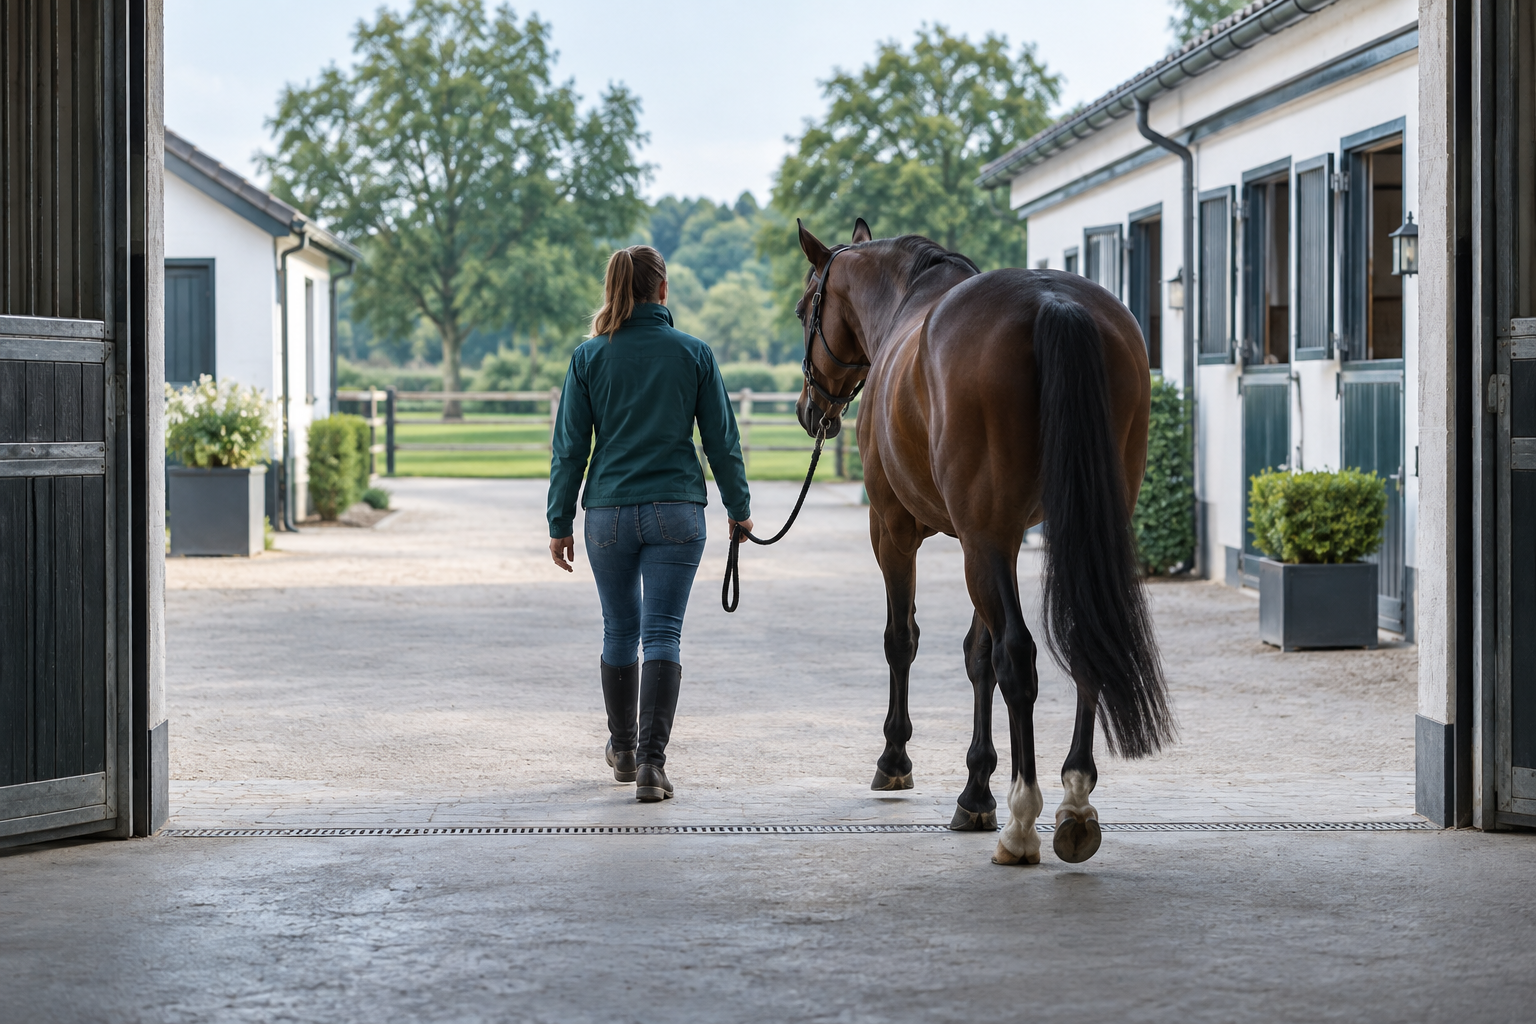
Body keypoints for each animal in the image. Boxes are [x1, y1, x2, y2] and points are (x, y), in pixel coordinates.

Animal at [792, 218, 1174, 865]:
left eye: (803, 310)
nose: (809, 409)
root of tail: (1054, 303)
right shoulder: (1001, 536)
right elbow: (977, 656)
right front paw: (976, 788)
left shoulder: (897, 529)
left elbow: (904, 640)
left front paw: (896, 761)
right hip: (1065, 527)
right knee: (1083, 641)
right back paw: (1075, 804)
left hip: (978, 537)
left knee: (1018, 654)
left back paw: (1023, 824)